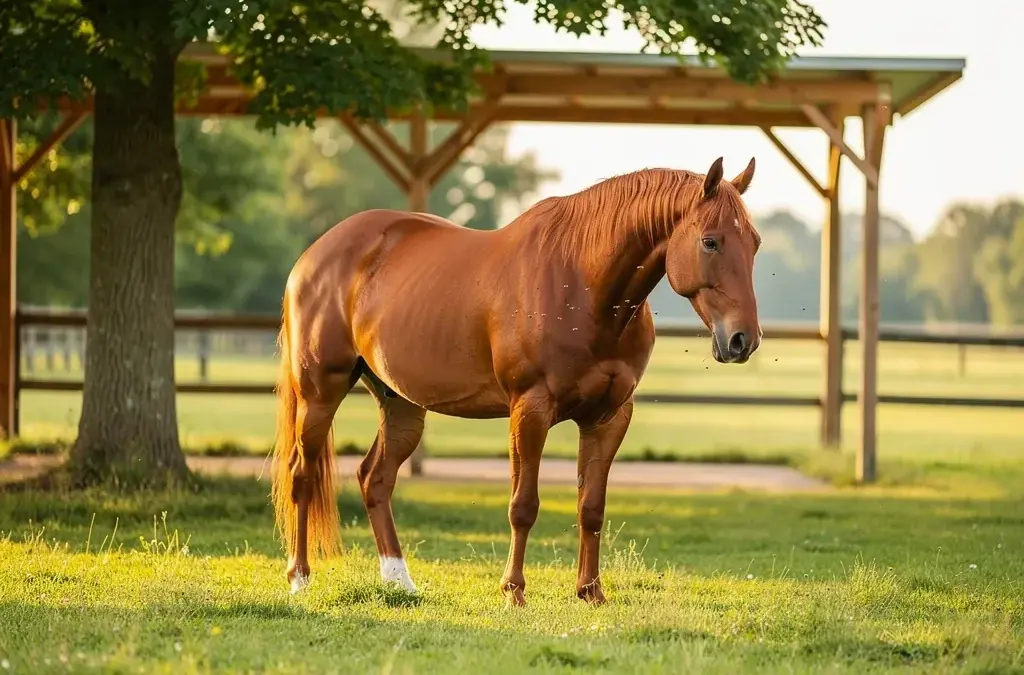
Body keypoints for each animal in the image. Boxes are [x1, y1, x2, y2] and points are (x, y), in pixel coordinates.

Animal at [271, 156, 762, 606]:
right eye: (710, 241)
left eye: (754, 243)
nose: (743, 340)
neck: (580, 286)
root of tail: (312, 257)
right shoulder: (530, 409)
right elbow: (523, 506)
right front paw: (514, 591)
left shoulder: (608, 416)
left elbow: (592, 508)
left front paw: (591, 592)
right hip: (320, 392)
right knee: (302, 473)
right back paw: (299, 579)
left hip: (402, 405)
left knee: (375, 478)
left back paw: (399, 581)